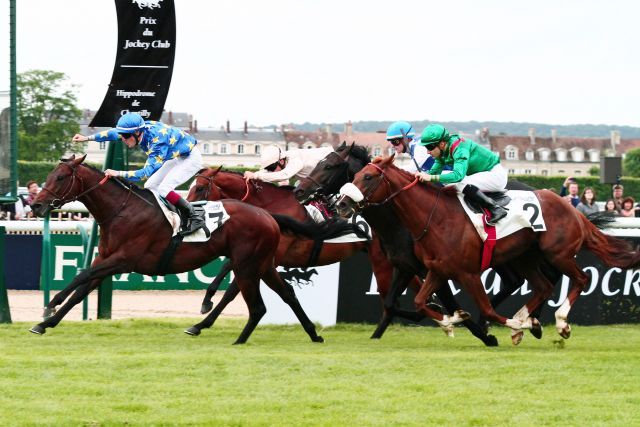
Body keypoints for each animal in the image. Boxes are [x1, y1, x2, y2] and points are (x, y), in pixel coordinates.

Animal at [29, 154, 344, 344]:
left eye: (60, 177)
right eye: (50, 175)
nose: (36, 205)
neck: (122, 210)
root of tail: (268, 215)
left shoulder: (123, 259)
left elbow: (80, 277)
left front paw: (49, 305)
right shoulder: (106, 259)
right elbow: (81, 290)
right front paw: (47, 323)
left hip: (247, 265)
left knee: (257, 305)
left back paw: (237, 339)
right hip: (265, 264)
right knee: (286, 294)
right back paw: (313, 334)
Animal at [336, 155, 640, 342]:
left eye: (369, 177)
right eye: (356, 174)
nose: (341, 203)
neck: (435, 218)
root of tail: (571, 208)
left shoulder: (467, 274)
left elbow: (487, 309)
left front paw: (498, 328)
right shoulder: (436, 270)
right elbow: (421, 302)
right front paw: (452, 321)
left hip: (559, 253)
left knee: (581, 278)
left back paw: (558, 321)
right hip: (525, 257)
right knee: (543, 286)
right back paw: (528, 320)